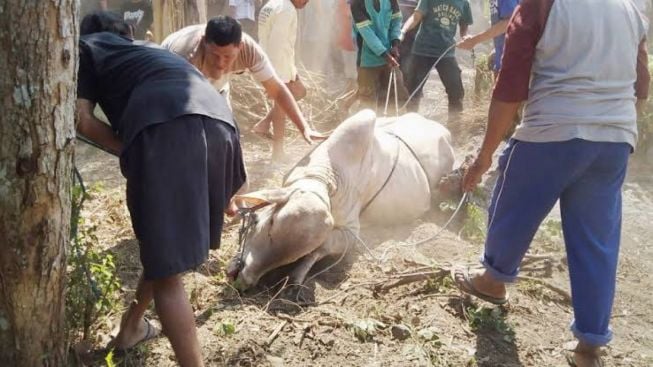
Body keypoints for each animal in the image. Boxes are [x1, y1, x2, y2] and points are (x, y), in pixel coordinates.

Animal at [228, 109, 454, 290]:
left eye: (295, 255)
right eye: (268, 223)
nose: (245, 280)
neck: (326, 174)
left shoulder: (351, 232)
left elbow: (321, 248)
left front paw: (297, 276)